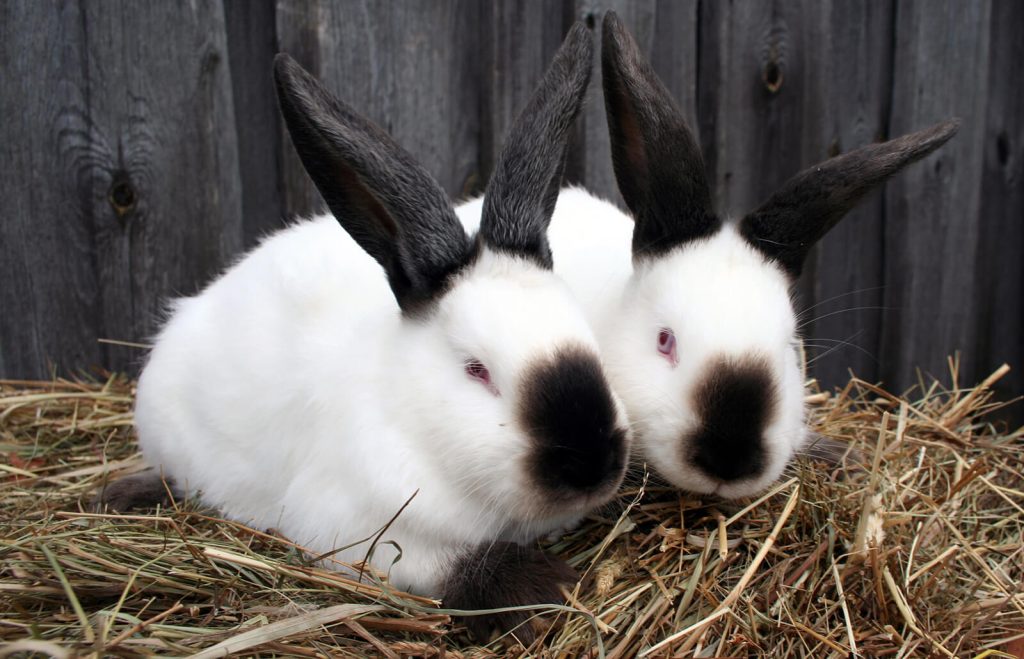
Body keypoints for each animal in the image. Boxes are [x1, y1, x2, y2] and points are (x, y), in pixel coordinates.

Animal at [101, 23, 630, 641]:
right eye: (477, 371)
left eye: (588, 339)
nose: (593, 464)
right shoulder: (363, 529)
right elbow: (454, 564)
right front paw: (546, 590)